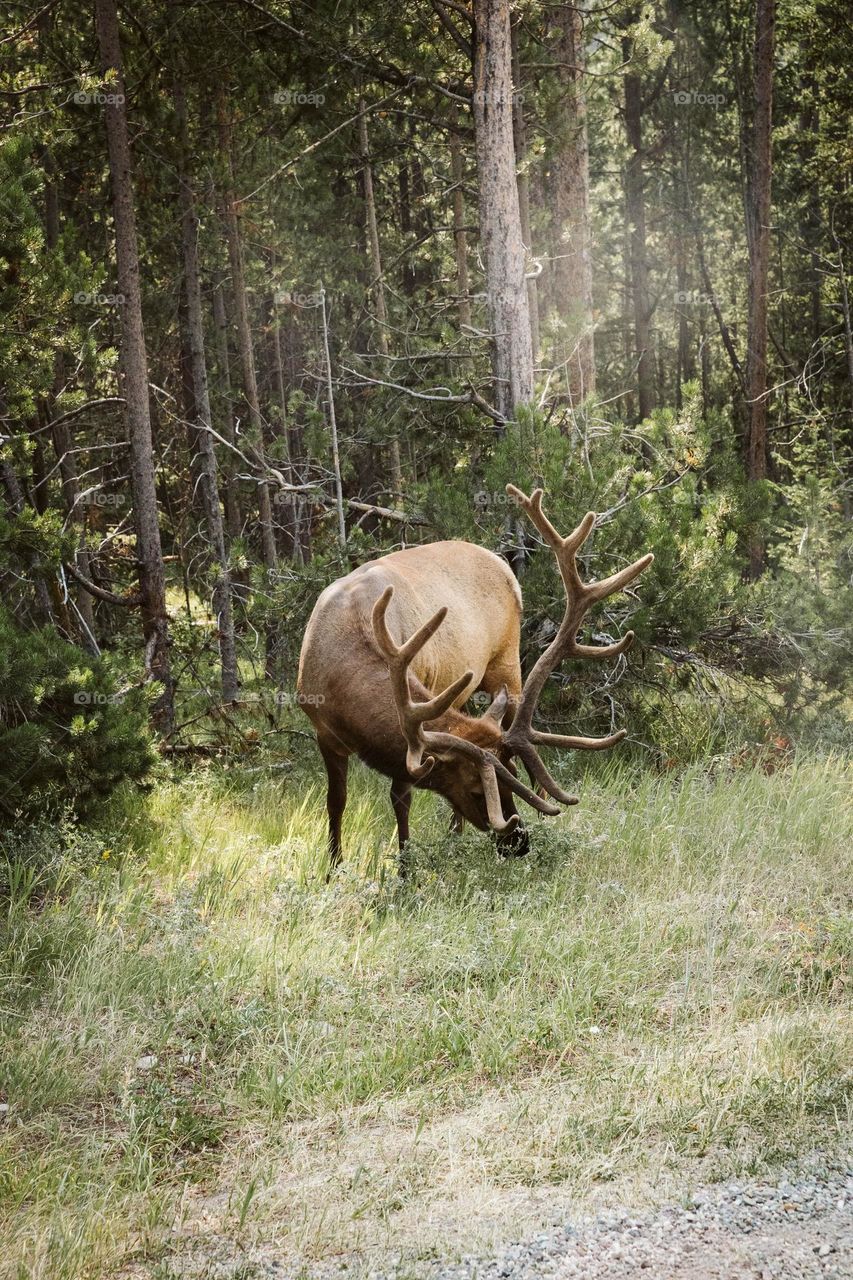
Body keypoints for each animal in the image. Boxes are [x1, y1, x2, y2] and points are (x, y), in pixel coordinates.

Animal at [294, 481, 650, 870]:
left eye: (510, 781)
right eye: (477, 790)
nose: (518, 842)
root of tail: (499, 560)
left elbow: (400, 797)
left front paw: (405, 869)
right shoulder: (323, 731)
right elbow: (337, 801)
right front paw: (333, 868)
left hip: (506, 662)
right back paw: (455, 836)